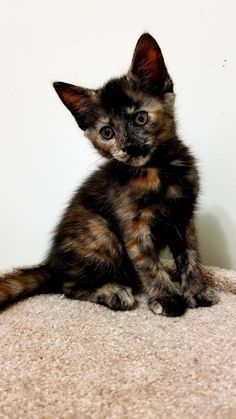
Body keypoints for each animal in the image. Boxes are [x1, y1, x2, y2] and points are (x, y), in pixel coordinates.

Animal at [0, 33, 219, 316]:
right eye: (107, 133)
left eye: (139, 118)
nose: (127, 147)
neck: (158, 170)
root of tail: (52, 264)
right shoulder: (133, 226)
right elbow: (149, 264)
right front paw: (167, 297)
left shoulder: (183, 217)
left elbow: (190, 256)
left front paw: (196, 291)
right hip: (102, 233)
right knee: (68, 287)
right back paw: (113, 292)